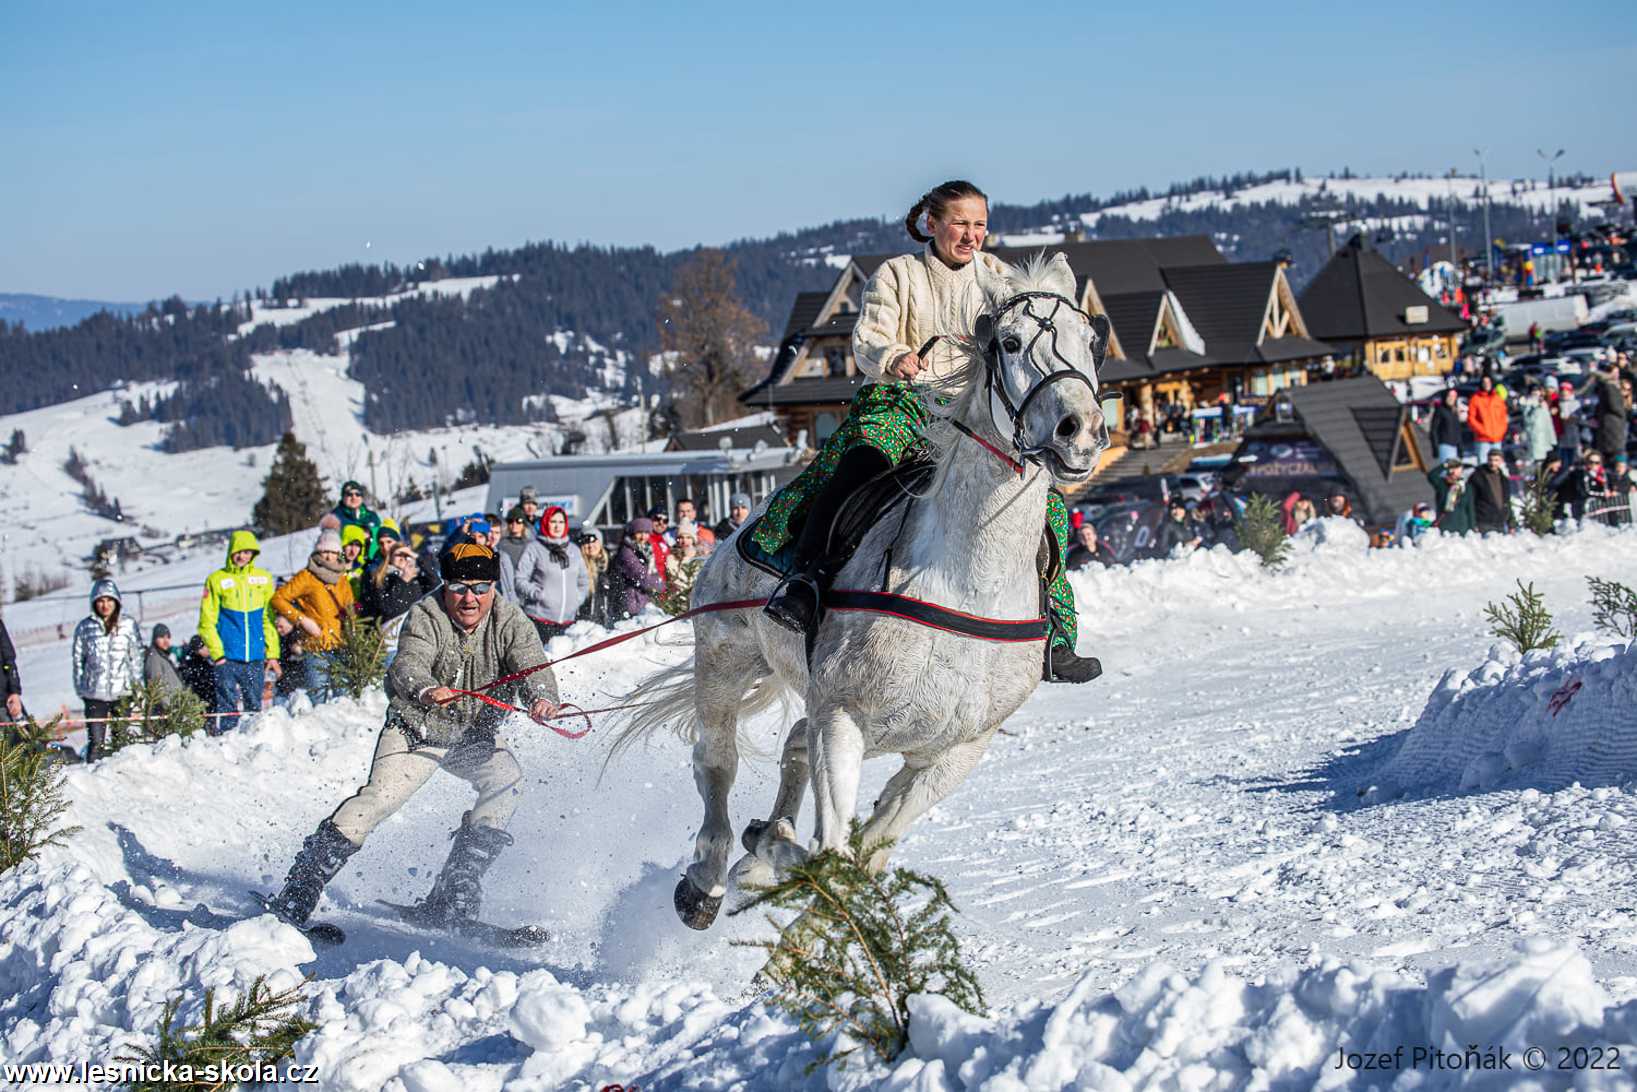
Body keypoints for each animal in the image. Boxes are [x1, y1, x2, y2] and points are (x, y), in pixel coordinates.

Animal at [615, 257, 1113, 929]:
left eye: (1091, 342)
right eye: (1009, 342)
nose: (1079, 431)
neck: (965, 585)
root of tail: (736, 531)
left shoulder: (952, 753)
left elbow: (868, 851)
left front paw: (785, 874)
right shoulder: (843, 718)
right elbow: (833, 852)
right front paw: (771, 855)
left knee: (793, 746)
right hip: (724, 659)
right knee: (716, 763)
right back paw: (710, 879)